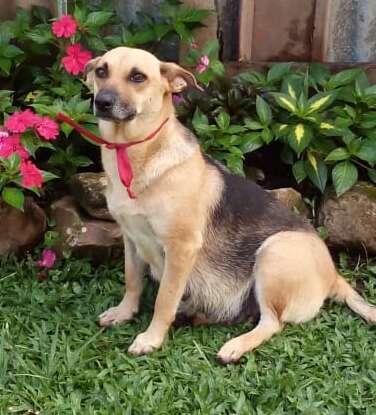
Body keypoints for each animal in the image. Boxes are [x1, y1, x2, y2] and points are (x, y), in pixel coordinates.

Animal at [84, 46, 376, 364]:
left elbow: (165, 298)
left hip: (274, 251)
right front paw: (125, 312)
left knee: (272, 322)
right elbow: (132, 280)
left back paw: (235, 346)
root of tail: (334, 276)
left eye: (138, 77)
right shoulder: (131, 238)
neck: (137, 153)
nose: (102, 102)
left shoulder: (181, 248)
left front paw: (152, 338)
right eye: (102, 71)